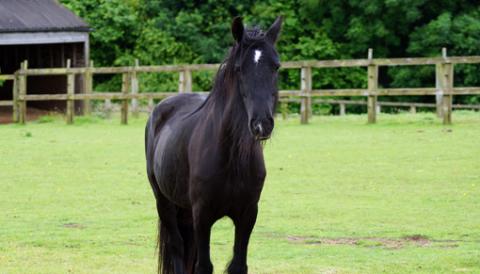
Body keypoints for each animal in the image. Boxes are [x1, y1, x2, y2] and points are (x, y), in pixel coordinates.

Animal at [144, 17, 284, 274]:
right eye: (239, 69)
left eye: (276, 66)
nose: (262, 124)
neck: (232, 156)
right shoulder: (203, 215)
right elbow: (203, 266)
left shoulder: (248, 215)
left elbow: (238, 265)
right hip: (164, 202)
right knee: (178, 247)